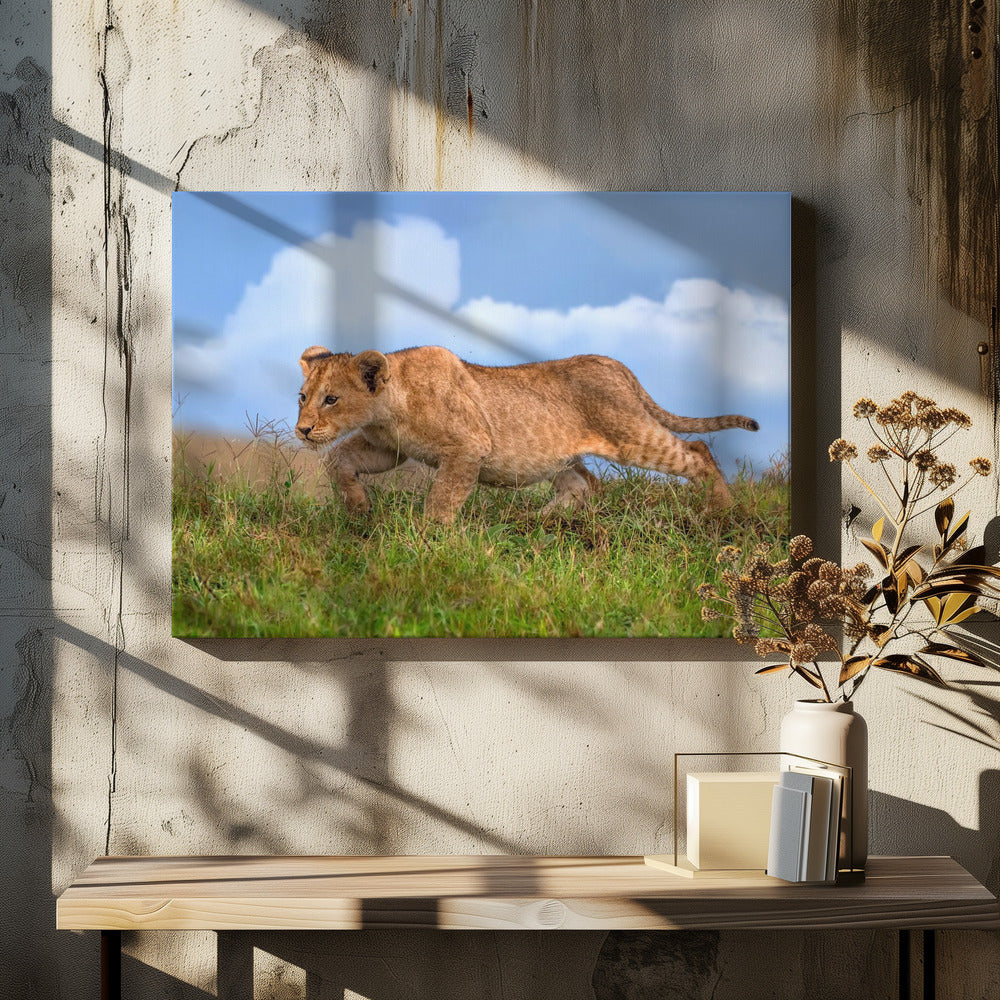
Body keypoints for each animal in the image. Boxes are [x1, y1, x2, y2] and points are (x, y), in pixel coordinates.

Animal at [295, 345, 758, 523]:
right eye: (302, 397)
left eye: (331, 399)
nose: (302, 430)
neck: (388, 407)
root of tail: (618, 365)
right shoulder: (387, 448)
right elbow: (340, 459)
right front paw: (358, 507)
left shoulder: (469, 446)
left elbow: (442, 499)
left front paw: (429, 539)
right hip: (561, 457)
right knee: (583, 484)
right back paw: (536, 520)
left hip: (631, 436)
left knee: (697, 451)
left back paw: (723, 512)